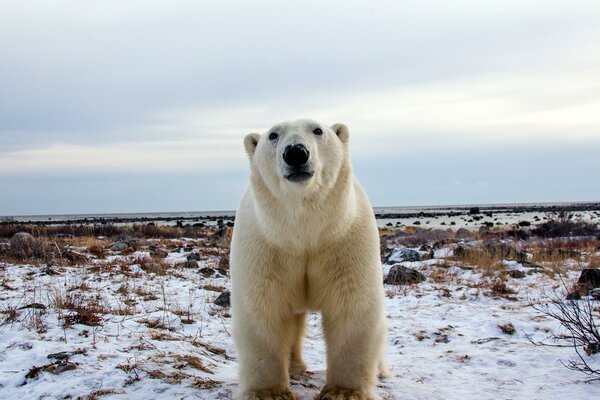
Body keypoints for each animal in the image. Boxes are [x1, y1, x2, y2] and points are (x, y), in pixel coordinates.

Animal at [230, 120, 390, 398]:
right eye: (273, 135)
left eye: (318, 130)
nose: (296, 153)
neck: (304, 234)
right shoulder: (266, 246)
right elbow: (264, 308)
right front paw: (269, 392)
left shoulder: (343, 242)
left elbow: (352, 306)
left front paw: (343, 392)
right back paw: (294, 366)